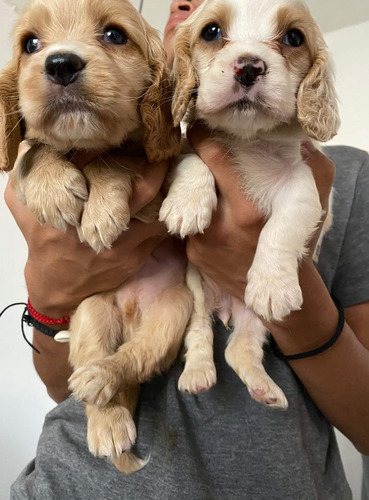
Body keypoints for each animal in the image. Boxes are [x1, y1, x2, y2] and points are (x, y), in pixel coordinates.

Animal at [1, 0, 193, 472]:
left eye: (114, 35)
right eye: (31, 44)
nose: (60, 64)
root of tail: (130, 317)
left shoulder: (156, 178)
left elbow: (118, 155)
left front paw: (100, 211)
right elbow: (34, 150)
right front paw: (54, 190)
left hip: (173, 313)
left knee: (133, 360)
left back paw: (104, 380)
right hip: (90, 312)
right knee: (96, 364)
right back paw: (107, 422)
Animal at [160, 0, 338, 408]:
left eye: (294, 38)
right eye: (211, 32)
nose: (248, 66)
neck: (248, 137)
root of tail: (226, 306)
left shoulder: (301, 181)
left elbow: (282, 226)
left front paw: (272, 284)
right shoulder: (184, 149)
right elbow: (192, 163)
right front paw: (186, 206)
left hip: (255, 321)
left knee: (238, 349)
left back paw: (264, 389)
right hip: (195, 292)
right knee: (200, 334)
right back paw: (197, 374)